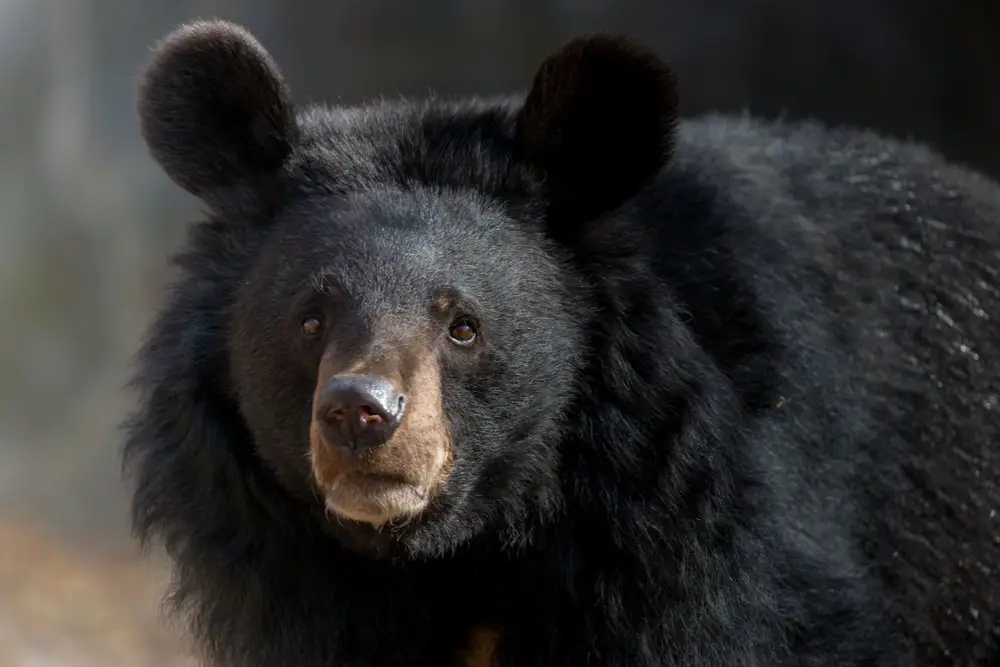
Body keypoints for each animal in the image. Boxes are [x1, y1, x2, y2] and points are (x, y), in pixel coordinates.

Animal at [125, 18, 1000, 664]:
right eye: (310, 319)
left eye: (463, 325)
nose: (360, 413)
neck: (469, 550)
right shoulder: (298, 577)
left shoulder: (698, 535)